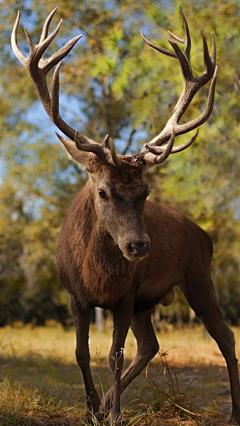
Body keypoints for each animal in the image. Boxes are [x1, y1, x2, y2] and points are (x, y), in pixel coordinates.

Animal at [11, 6, 240, 426]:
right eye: (103, 191)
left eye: (145, 192)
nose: (138, 246)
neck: (97, 277)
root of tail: (204, 235)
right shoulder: (76, 294)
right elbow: (81, 352)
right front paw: (91, 410)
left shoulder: (126, 294)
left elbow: (115, 355)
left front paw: (115, 414)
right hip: (150, 301)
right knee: (151, 345)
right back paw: (103, 405)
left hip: (198, 275)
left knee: (225, 335)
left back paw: (233, 413)